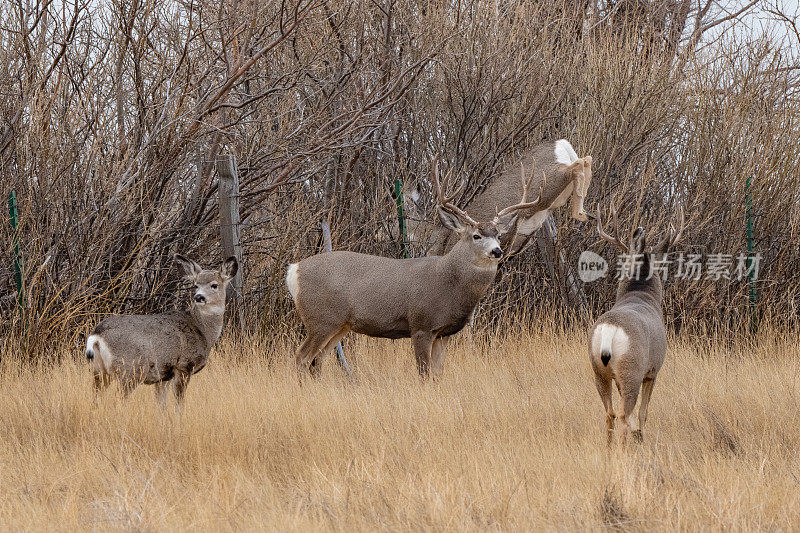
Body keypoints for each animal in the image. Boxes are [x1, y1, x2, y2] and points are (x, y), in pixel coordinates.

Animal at [87, 256, 239, 406]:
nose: (199, 297)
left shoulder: (164, 376)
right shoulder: (183, 365)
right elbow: (179, 402)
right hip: (131, 369)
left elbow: (162, 404)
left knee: (95, 398)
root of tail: (96, 336)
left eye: (214, 285)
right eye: (196, 285)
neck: (202, 330)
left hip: (99, 371)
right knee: (118, 399)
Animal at [288, 159, 544, 378]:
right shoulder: (421, 324)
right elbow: (424, 373)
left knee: (317, 360)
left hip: (339, 324)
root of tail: (293, 271)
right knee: (302, 357)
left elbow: (438, 374)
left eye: (499, 235)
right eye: (476, 235)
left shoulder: (444, 333)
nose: (497, 251)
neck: (449, 282)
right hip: (320, 318)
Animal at [584, 204, 684, 444]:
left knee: (610, 412)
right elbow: (643, 412)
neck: (640, 295)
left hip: (598, 369)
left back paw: (609, 447)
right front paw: (640, 435)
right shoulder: (653, 370)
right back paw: (623, 448)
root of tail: (609, 329)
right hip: (632, 370)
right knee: (623, 413)